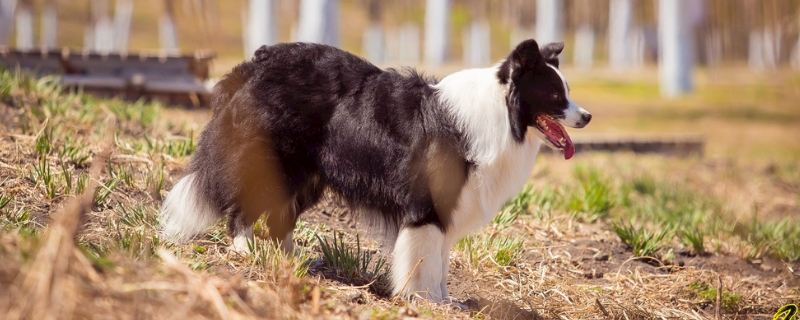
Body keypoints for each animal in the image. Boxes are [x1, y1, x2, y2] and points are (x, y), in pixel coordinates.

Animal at [159, 39, 592, 302]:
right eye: (556, 95)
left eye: (568, 92)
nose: (587, 116)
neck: (500, 113)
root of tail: (256, 61)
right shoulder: (426, 209)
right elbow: (424, 261)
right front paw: (422, 300)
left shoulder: (449, 208)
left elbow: (441, 263)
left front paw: (445, 301)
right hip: (276, 165)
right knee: (245, 208)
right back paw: (246, 251)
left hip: (307, 178)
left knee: (280, 220)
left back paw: (291, 261)